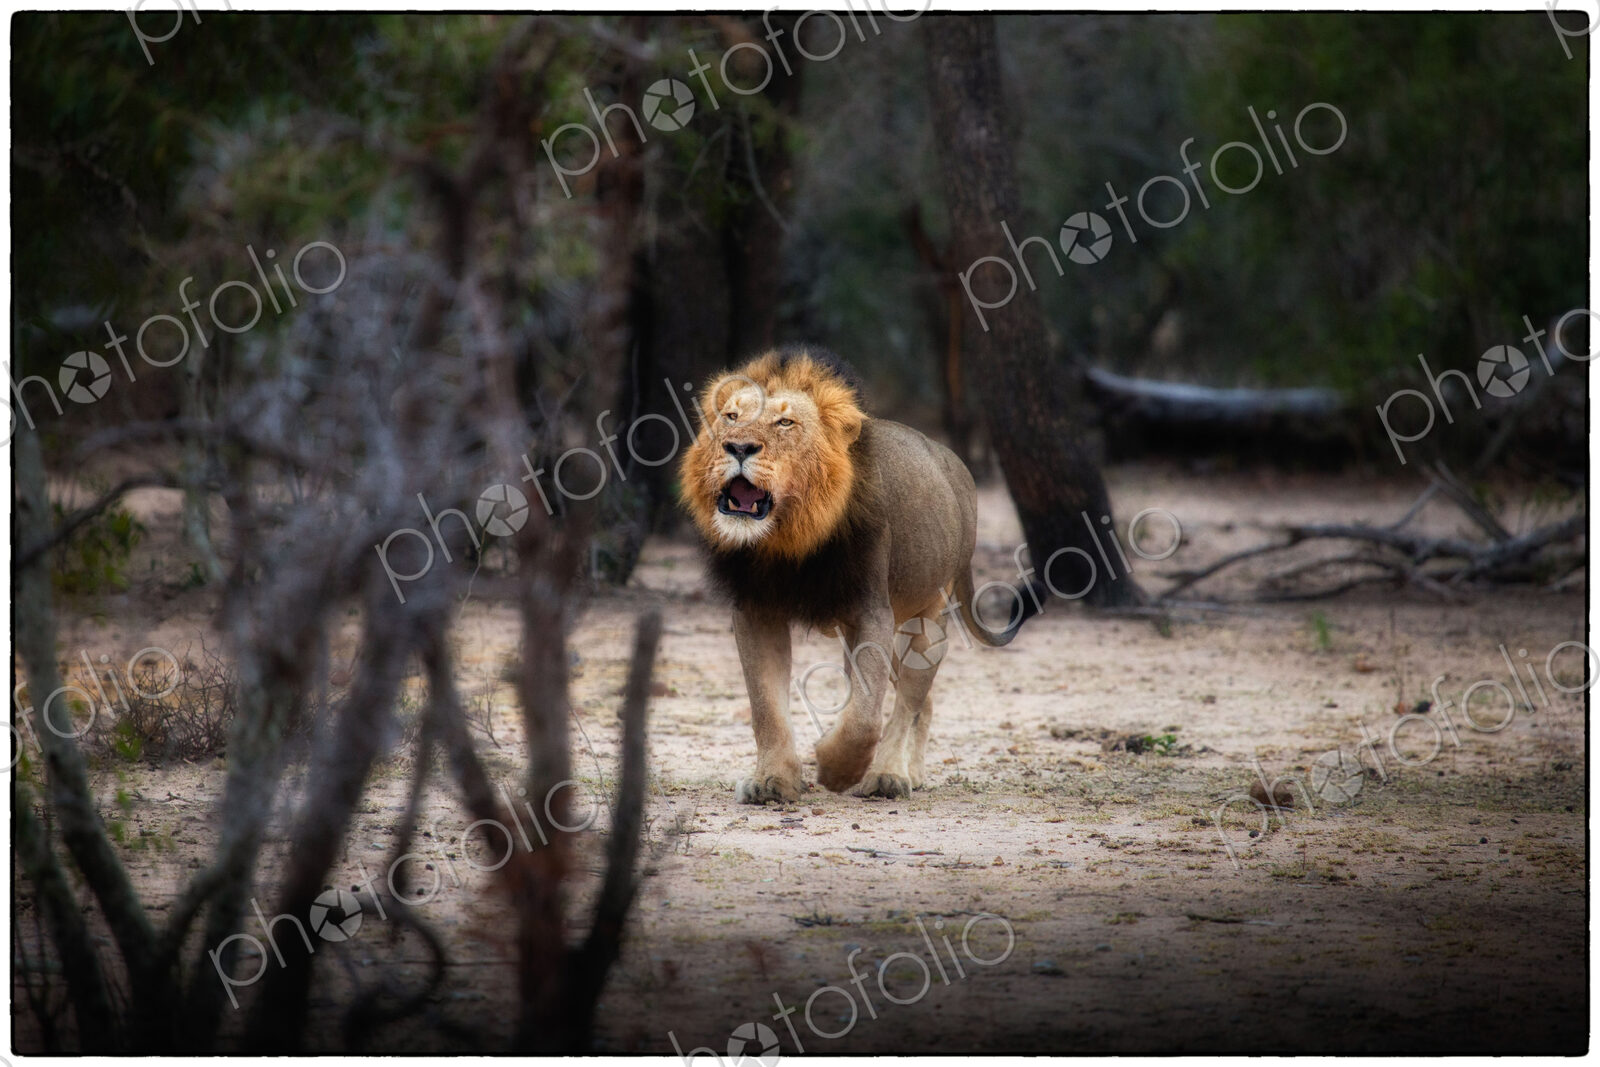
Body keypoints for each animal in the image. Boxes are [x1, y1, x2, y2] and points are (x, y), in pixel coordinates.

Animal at [679, 345, 1041, 803]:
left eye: (785, 422)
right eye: (730, 416)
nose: (737, 446)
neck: (788, 539)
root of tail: (955, 466)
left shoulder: (872, 612)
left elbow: (865, 717)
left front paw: (837, 770)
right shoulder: (756, 612)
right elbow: (766, 707)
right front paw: (772, 782)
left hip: (927, 621)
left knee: (909, 701)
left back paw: (889, 776)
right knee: (919, 701)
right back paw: (910, 772)